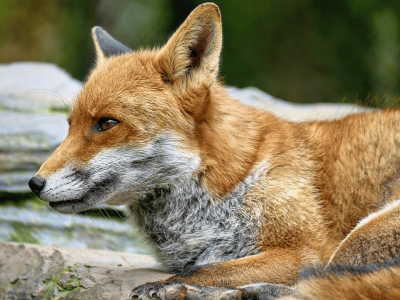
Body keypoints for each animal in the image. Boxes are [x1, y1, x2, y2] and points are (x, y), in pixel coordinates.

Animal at [28, 2, 400, 300]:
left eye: (106, 123)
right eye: (70, 126)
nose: (34, 183)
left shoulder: (303, 249)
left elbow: (206, 270)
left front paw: (172, 286)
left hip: (361, 234)